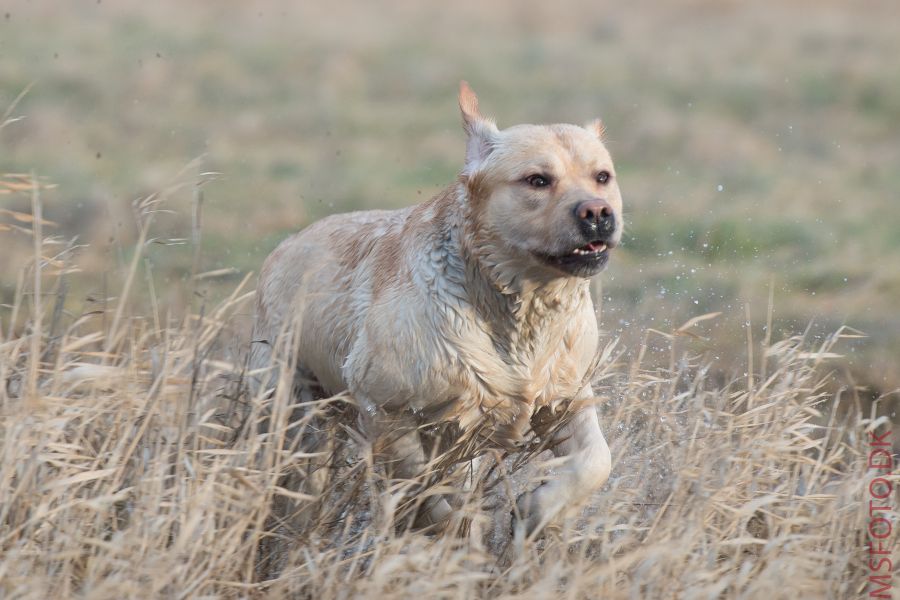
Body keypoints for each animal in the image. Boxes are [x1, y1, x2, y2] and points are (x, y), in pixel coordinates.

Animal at [250, 83, 624, 536]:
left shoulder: (565, 395)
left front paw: (538, 508)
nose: (598, 213)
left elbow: (596, 461)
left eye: (602, 177)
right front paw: (453, 531)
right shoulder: (385, 407)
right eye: (538, 180)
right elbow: (421, 488)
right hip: (292, 409)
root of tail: (283, 246)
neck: (518, 306)